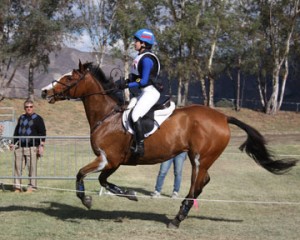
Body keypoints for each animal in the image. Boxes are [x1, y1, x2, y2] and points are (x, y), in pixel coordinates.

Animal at [41, 60, 298, 229]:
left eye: (69, 78)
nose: (44, 92)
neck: (107, 116)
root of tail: (223, 117)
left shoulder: (108, 159)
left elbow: (85, 174)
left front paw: (90, 199)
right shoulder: (112, 162)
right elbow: (98, 179)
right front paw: (125, 194)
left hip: (199, 160)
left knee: (197, 185)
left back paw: (177, 218)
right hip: (200, 159)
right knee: (203, 182)